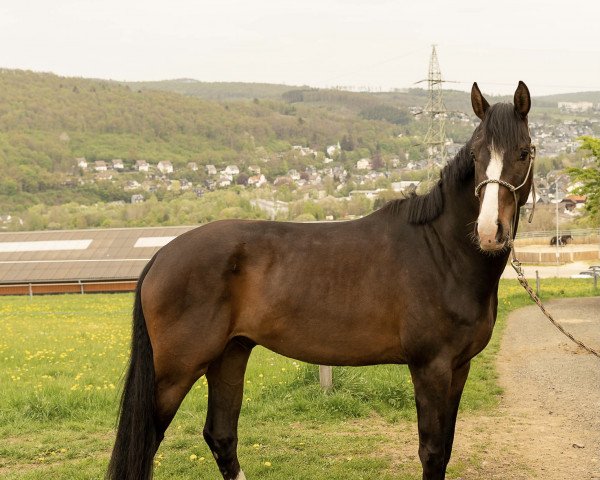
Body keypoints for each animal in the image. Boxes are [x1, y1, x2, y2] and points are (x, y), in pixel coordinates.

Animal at [108, 80, 536, 478]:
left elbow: (445, 449)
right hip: (176, 372)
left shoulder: (458, 368)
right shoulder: (430, 367)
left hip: (230, 355)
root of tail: (162, 254)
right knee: (151, 441)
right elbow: (432, 453)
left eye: (524, 151)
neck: (442, 251)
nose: (489, 232)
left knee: (221, 436)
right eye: (477, 155)